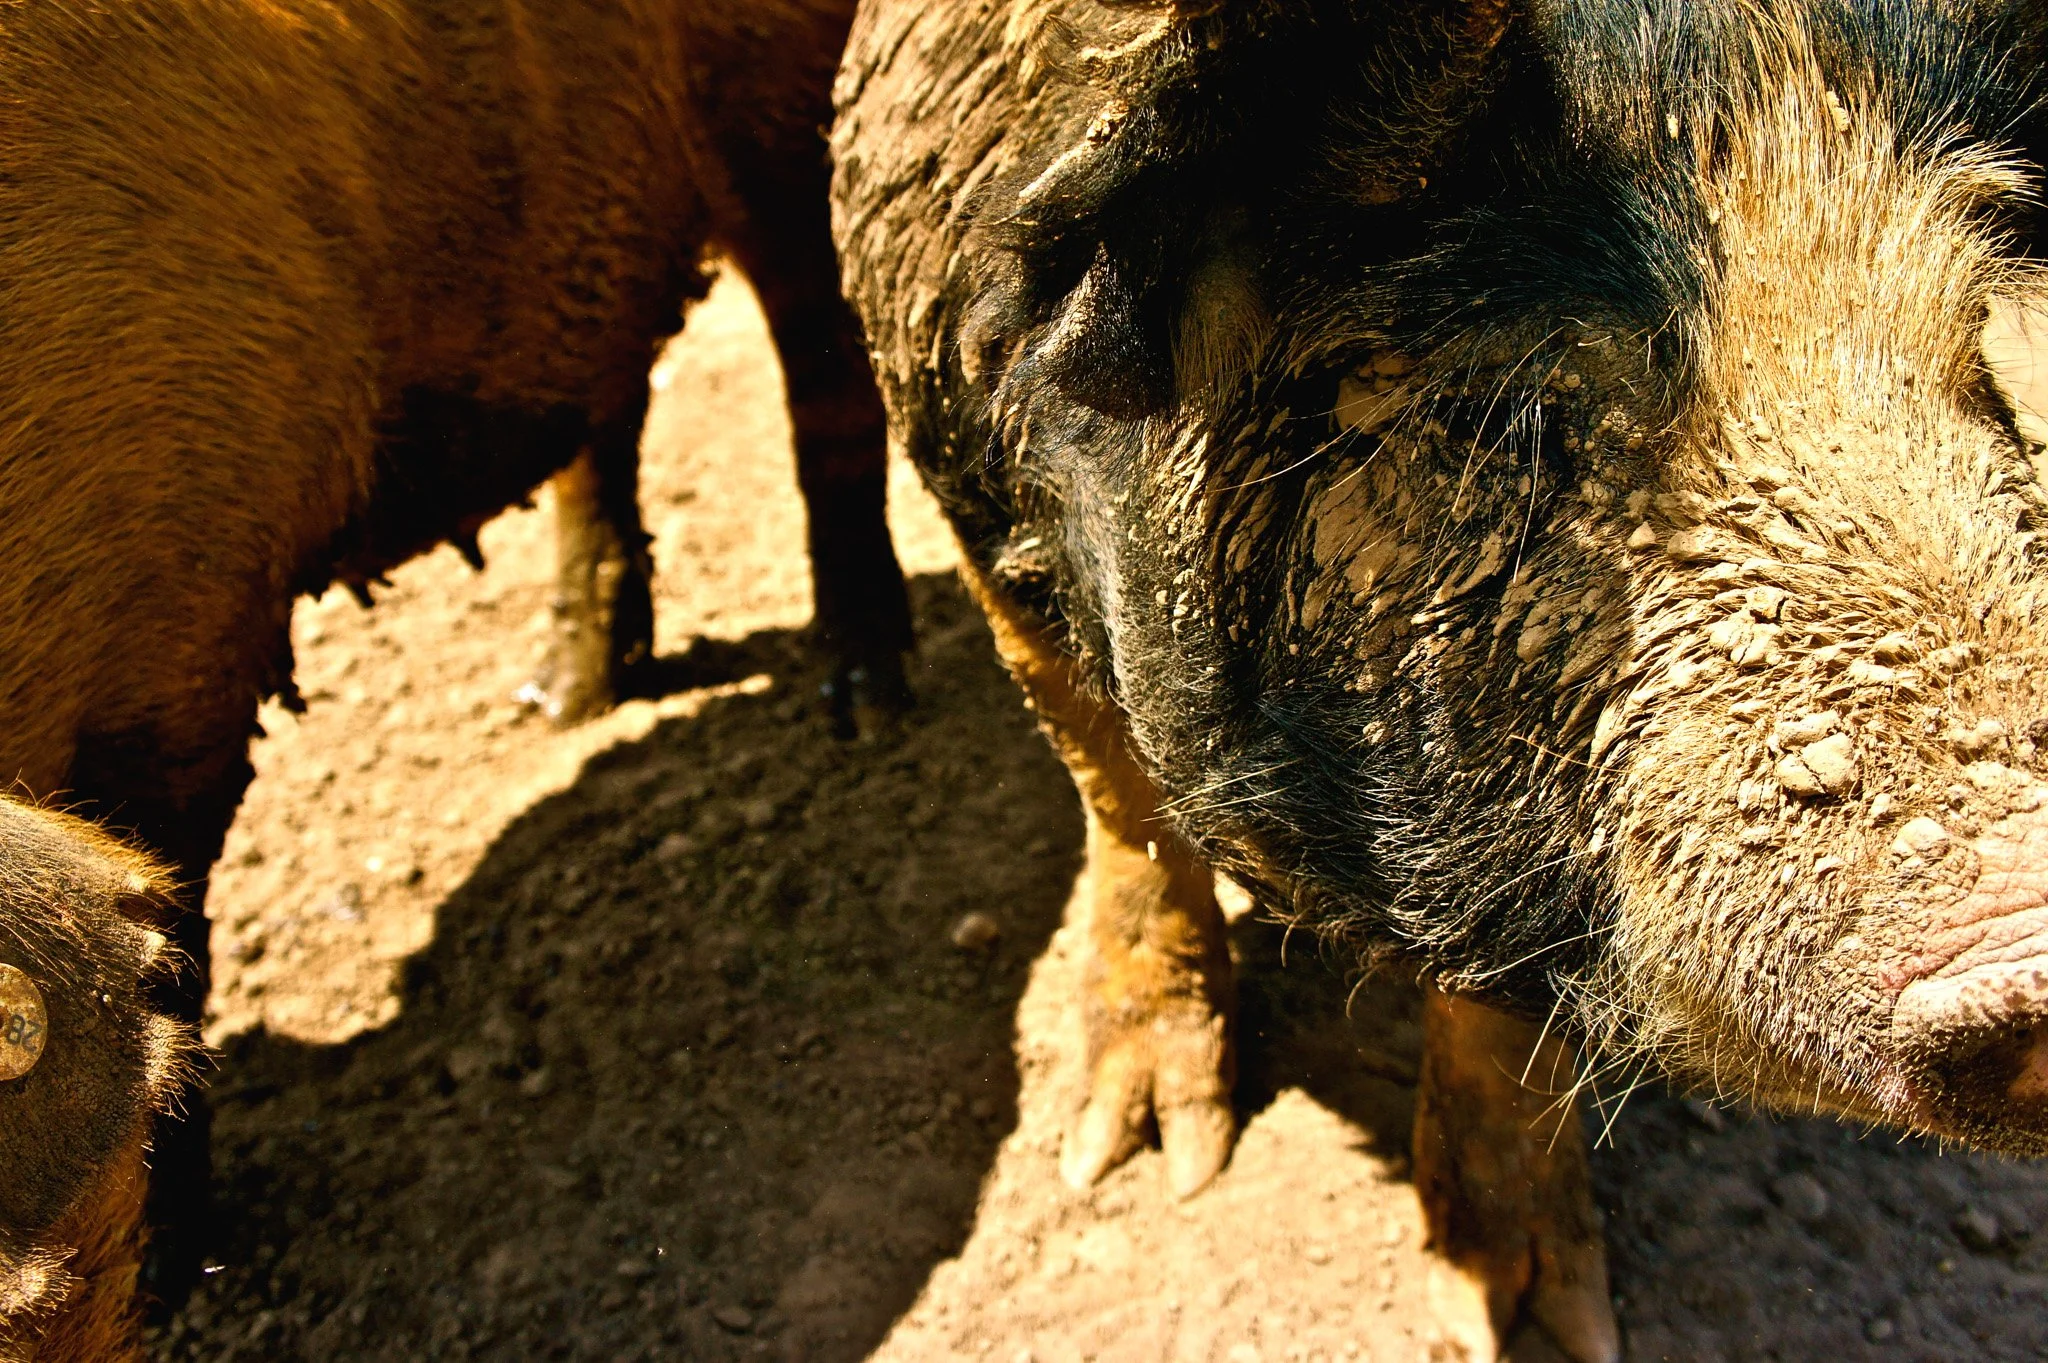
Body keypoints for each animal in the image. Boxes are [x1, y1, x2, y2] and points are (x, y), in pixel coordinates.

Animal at [0, 0, 910, 1355]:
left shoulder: (192, 595)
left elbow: (179, 900)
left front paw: (176, 1266)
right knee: (610, 384)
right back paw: (568, 698)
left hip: (785, 83)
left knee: (818, 334)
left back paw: (863, 700)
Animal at [833, 1, 2048, 1358]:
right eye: (1498, 417)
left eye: (1977, 363)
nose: (2031, 919)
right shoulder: (949, 449)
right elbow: (1119, 800)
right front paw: (1142, 1163)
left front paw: (1527, 1322)